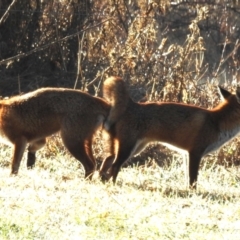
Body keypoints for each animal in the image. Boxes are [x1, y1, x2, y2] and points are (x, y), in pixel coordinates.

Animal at [100, 76, 240, 188]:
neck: (217, 122)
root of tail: (132, 104)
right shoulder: (195, 153)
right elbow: (193, 180)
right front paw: (193, 193)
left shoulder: (186, 154)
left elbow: (187, 178)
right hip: (128, 148)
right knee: (114, 166)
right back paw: (113, 185)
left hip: (134, 149)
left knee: (107, 160)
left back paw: (101, 180)